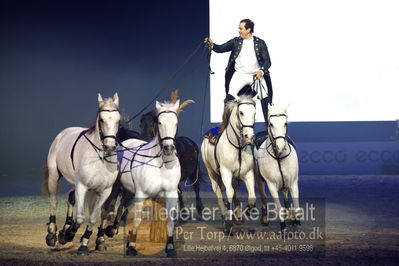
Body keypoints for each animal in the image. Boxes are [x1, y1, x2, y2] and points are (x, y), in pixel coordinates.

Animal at [42, 92, 120, 255]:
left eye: (118, 120)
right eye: (102, 120)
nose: (109, 147)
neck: (100, 158)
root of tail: (63, 133)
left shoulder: (104, 191)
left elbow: (93, 218)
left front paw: (84, 244)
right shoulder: (82, 186)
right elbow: (80, 218)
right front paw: (67, 235)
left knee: (71, 197)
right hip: (54, 176)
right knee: (54, 201)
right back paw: (52, 234)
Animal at [116, 98, 180, 256]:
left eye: (176, 122)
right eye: (160, 122)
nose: (168, 148)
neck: (161, 164)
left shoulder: (170, 194)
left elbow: (170, 221)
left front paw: (170, 248)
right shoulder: (141, 194)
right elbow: (137, 220)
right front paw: (131, 247)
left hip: (128, 191)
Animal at [202, 95, 258, 233]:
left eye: (254, 113)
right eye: (241, 112)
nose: (249, 136)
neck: (238, 148)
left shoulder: (248, 174)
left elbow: (252, 198)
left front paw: (243, 214)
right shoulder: (225, 173)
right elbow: (229, 193)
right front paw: (228, 223)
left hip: (236, 177)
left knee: (235, 189)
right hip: (212, 174)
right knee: (220, 195)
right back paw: (225, 217)